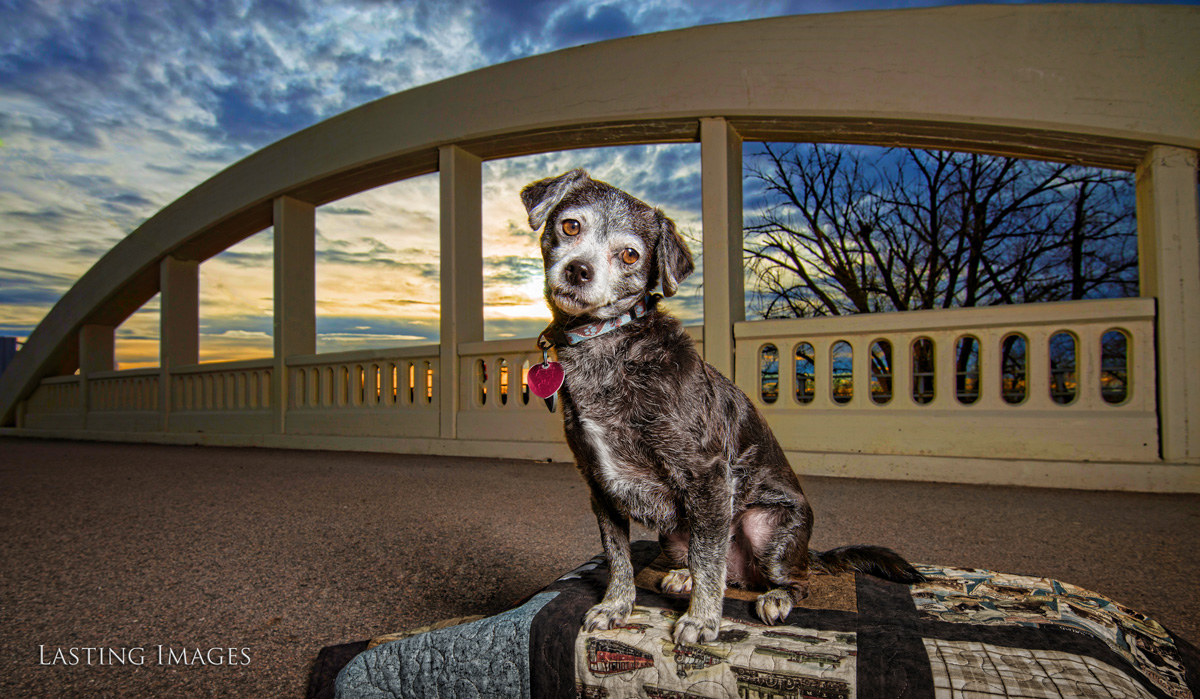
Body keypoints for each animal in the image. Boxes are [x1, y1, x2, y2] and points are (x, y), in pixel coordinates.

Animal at [520, 169, 921, 648]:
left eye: (630, 254)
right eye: (570, 226)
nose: (579, 269)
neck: (608, 344)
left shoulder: (707, 477)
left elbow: (709, 561)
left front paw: (701, 620)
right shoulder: (600, 486)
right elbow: (618, 557)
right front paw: (617, 606)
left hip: (766, 529)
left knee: (786, 578)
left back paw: (775, 597)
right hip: (673, 535)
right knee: (714, 564)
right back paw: (683, 578)